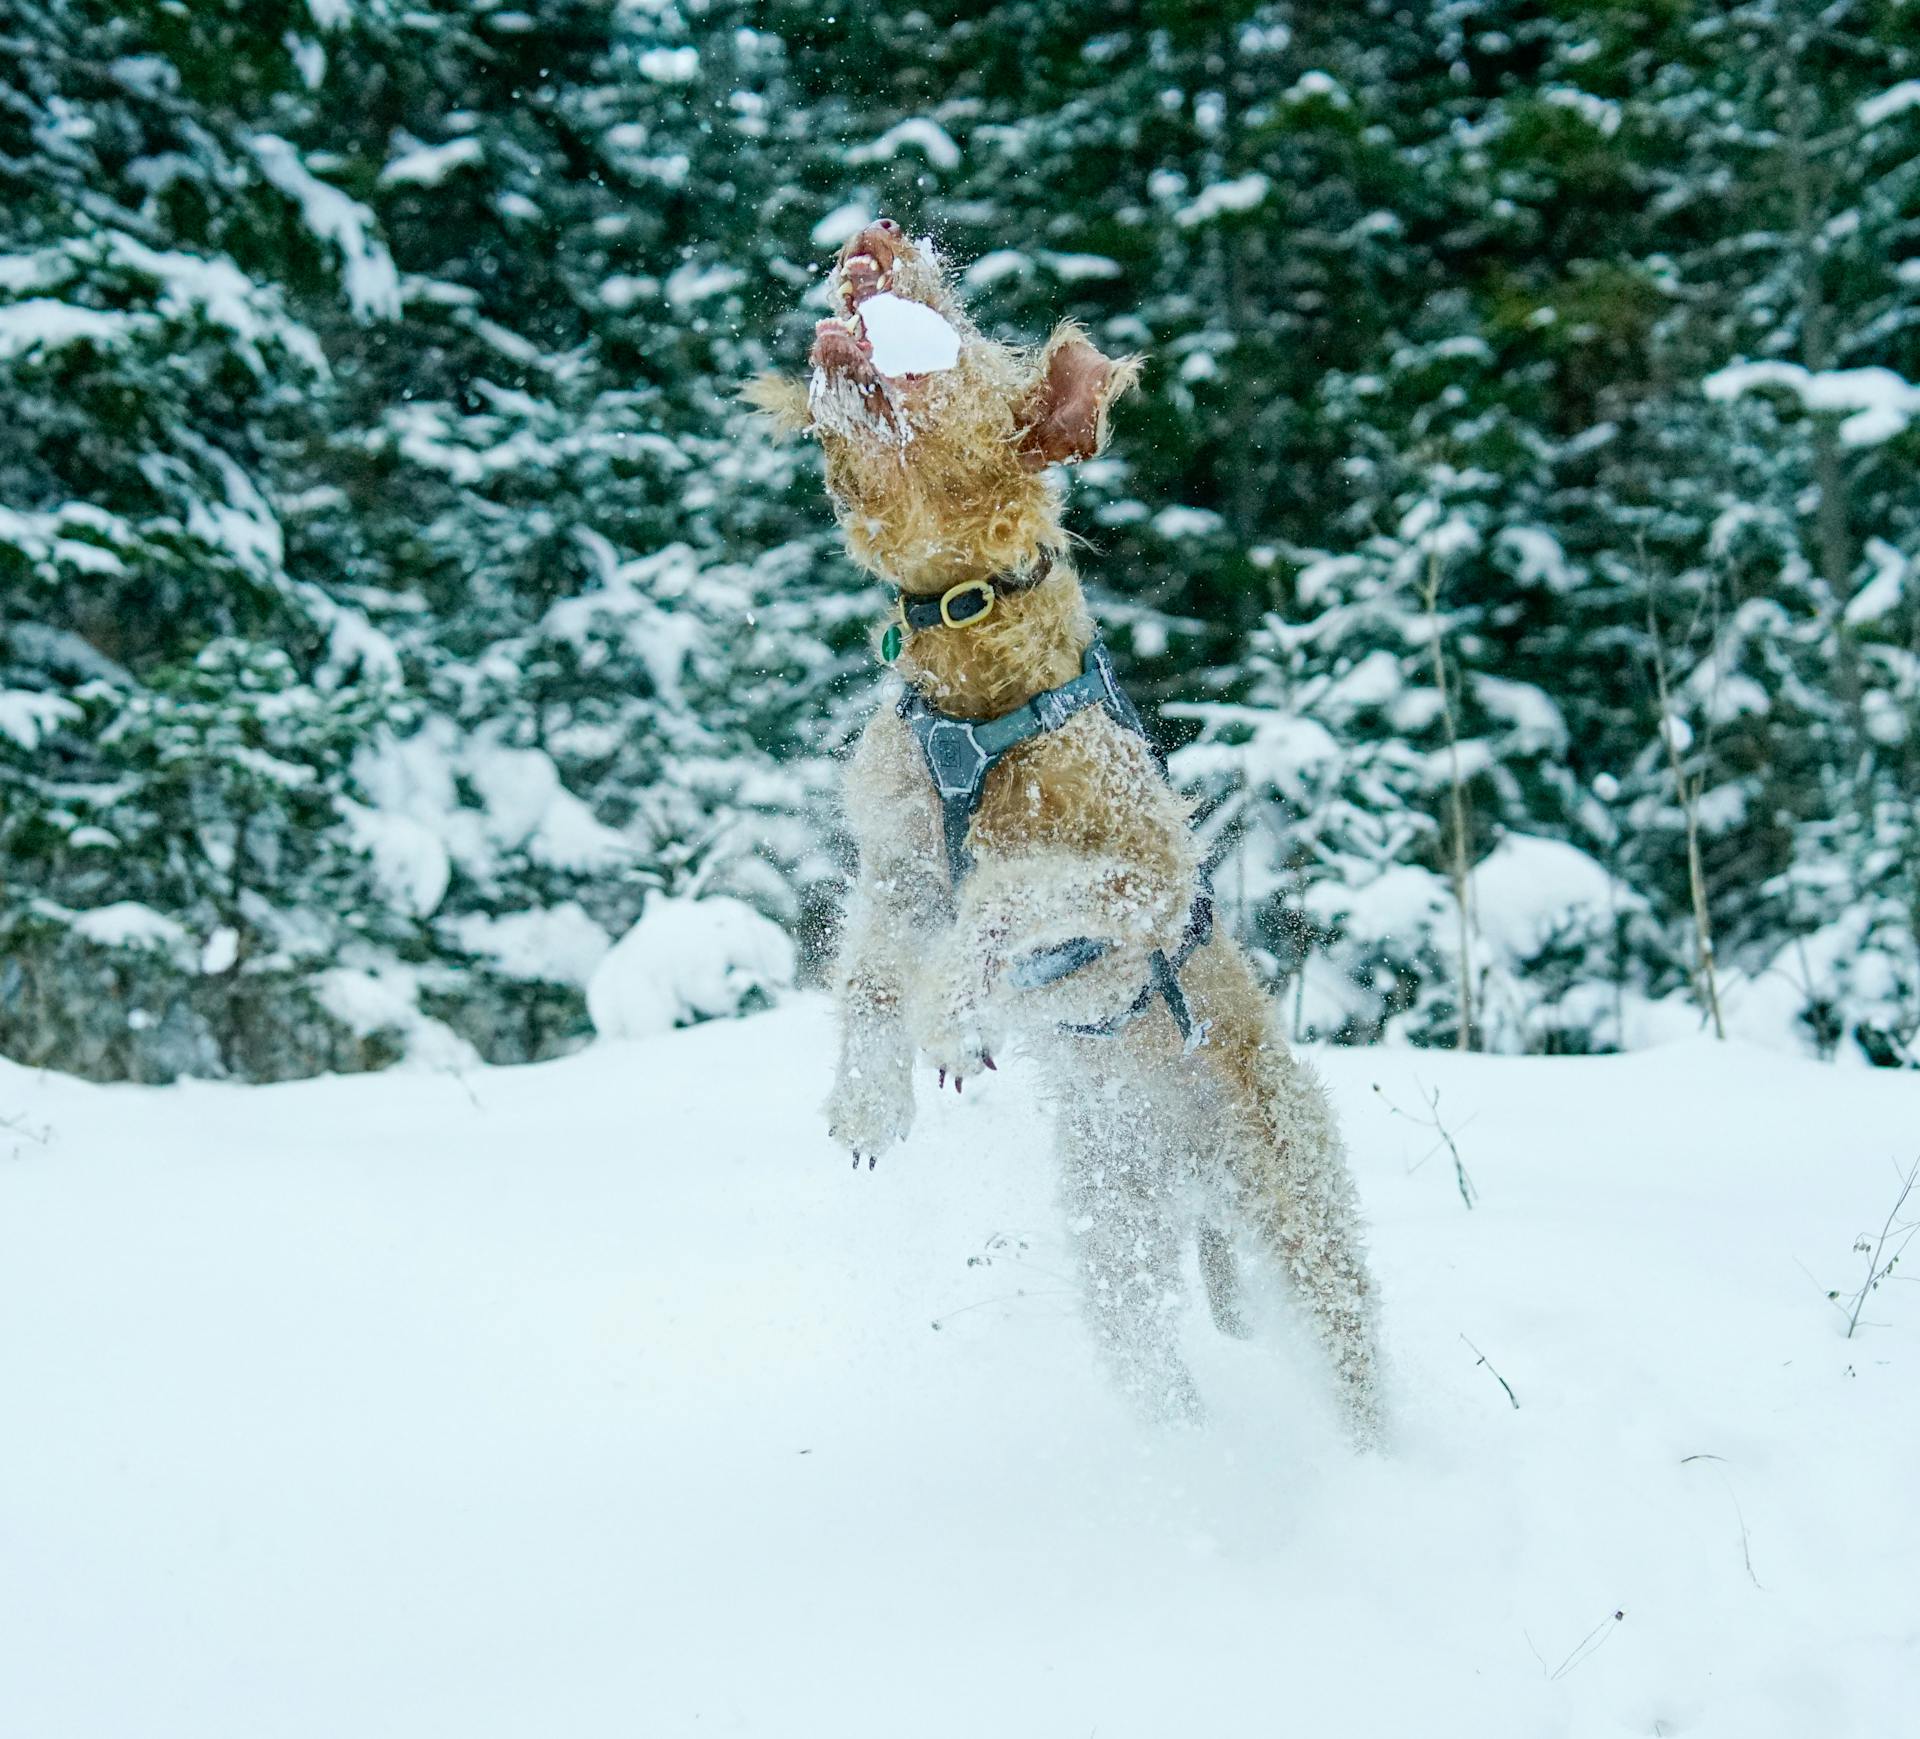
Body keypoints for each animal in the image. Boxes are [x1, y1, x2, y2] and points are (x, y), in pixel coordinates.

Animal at [748, 220, 1382, 1435]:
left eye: (966, 325)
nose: (877, 236)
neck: (974, 681)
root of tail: (1192, 1181)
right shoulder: (898, 867)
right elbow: (871, 978)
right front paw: (869, 1100)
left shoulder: (1144, 874)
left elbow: (1004, 892)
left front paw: (954, 1021)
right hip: (1116, 1241)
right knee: (1155, 1366)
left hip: (1304, 1229)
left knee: (1353, 1367)